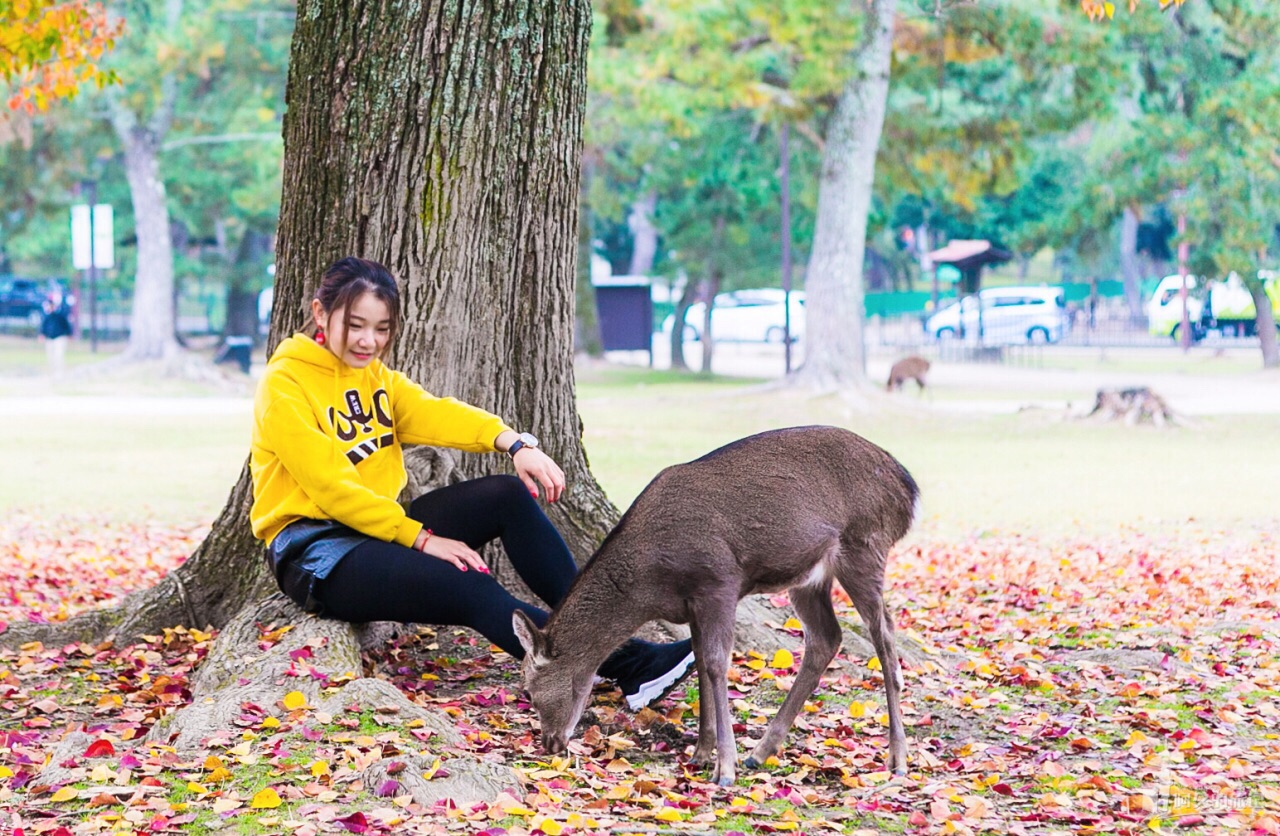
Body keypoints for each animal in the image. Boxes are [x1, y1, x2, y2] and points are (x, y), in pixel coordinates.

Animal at [509, 427, 921, 783]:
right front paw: (701, 754)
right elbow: (701, 662)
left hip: (865, 543)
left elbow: (717, 663)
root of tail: (908, 486)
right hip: (809, 576)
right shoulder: (690, 603)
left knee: (884, 634)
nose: (549, 743)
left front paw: (725, 767)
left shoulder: (719, 582)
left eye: (529, 688)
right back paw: (762, 751)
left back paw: (898, 758)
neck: (650, 584)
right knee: (826, 638)